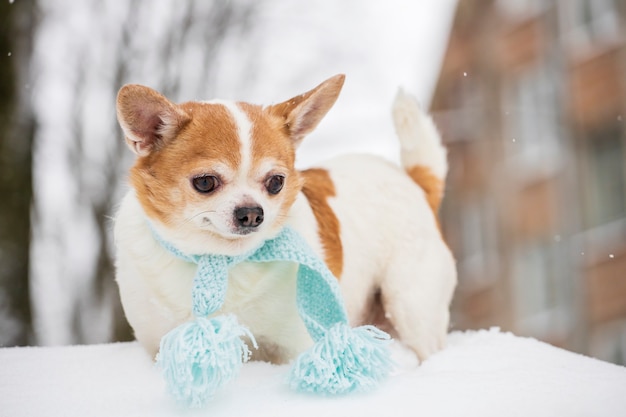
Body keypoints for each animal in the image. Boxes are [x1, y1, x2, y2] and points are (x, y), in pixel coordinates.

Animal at [113, 75, 454, 364]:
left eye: (276, 182)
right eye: (205, 182)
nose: (252, 213)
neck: (218, 259)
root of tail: (415, 183)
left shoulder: (294, 347)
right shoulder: (158, 346)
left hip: (409, 304)